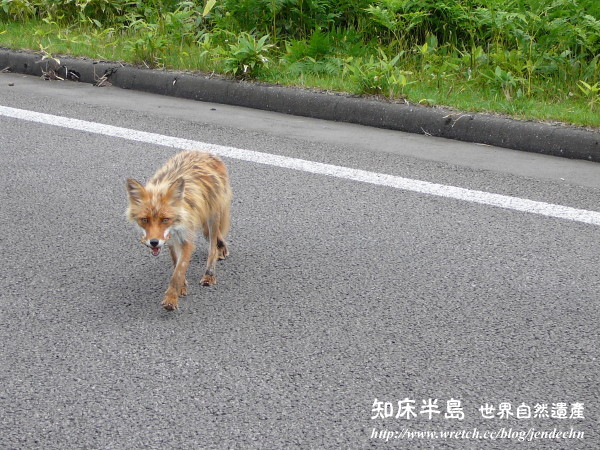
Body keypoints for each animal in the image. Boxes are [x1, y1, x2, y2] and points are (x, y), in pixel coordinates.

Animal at [125, 149, 231, 312]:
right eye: (144, 219)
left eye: (165, 219)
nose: (154, 242)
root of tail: (203, 152)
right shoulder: (169, 239)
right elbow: (176, 262)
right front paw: (182, 286)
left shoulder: (187, 238)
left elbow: (178, 271)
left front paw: (171, 298)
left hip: (212, 218)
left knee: (212, 247)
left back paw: (209, 274)